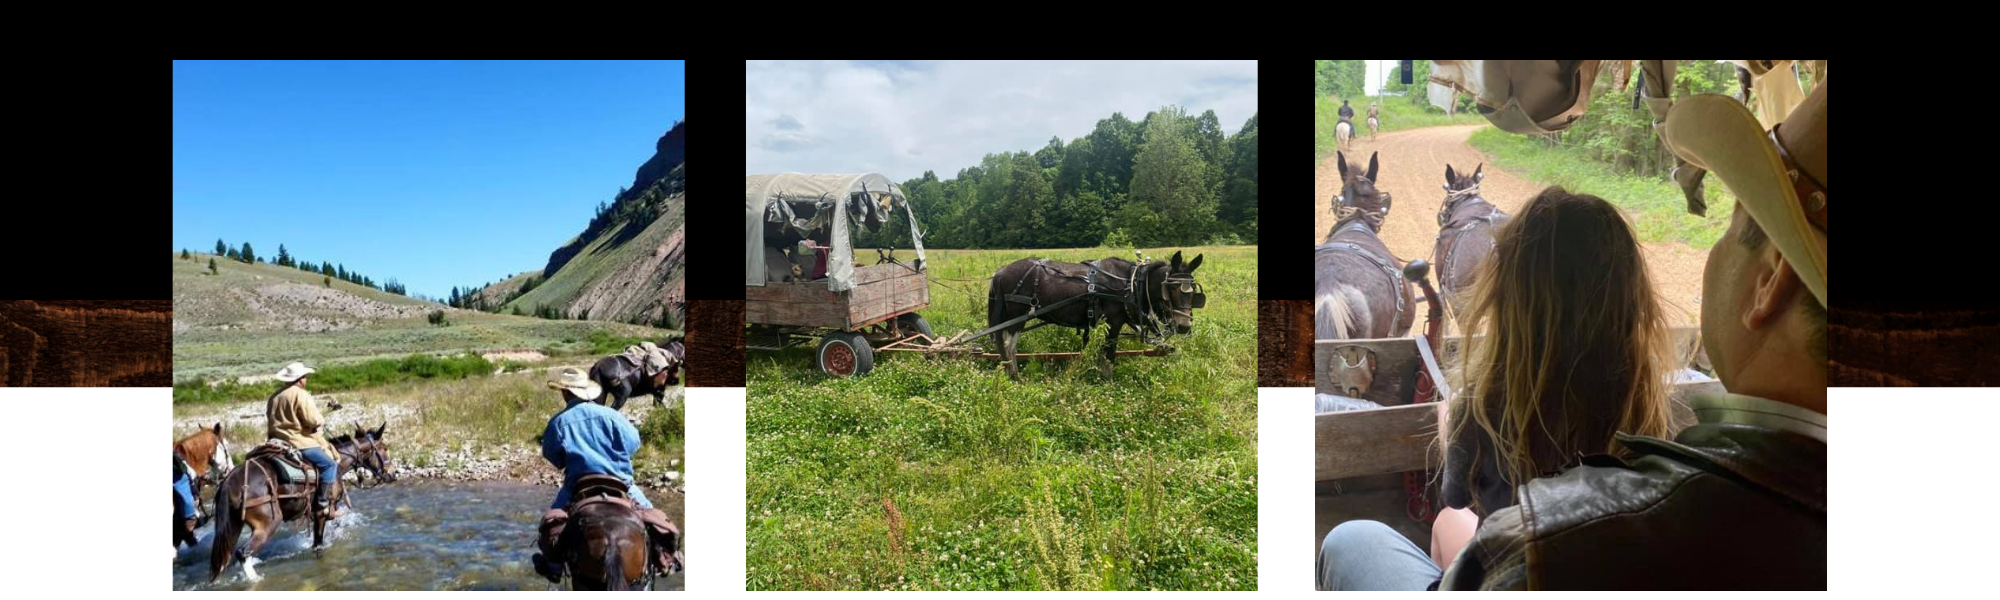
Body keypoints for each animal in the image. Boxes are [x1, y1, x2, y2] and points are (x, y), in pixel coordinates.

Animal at [208, 422, 394, 580]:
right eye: (385, 448)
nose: (393, 474)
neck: (338, 462)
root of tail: (230, 481)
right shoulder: (321, 512)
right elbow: (318, 544)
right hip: (268, 524)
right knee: (243, 554)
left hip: (234, 526)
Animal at [984, 251, 1200, 378]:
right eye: (1171, 288)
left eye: (1193, 291)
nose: (1184, 326)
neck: (1130, 283)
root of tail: (1000, 272)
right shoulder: (1113, 323)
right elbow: (1109, 354)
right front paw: (1108, 381)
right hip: (1016, 316)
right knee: (1008, 346)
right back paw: (1014, 376)